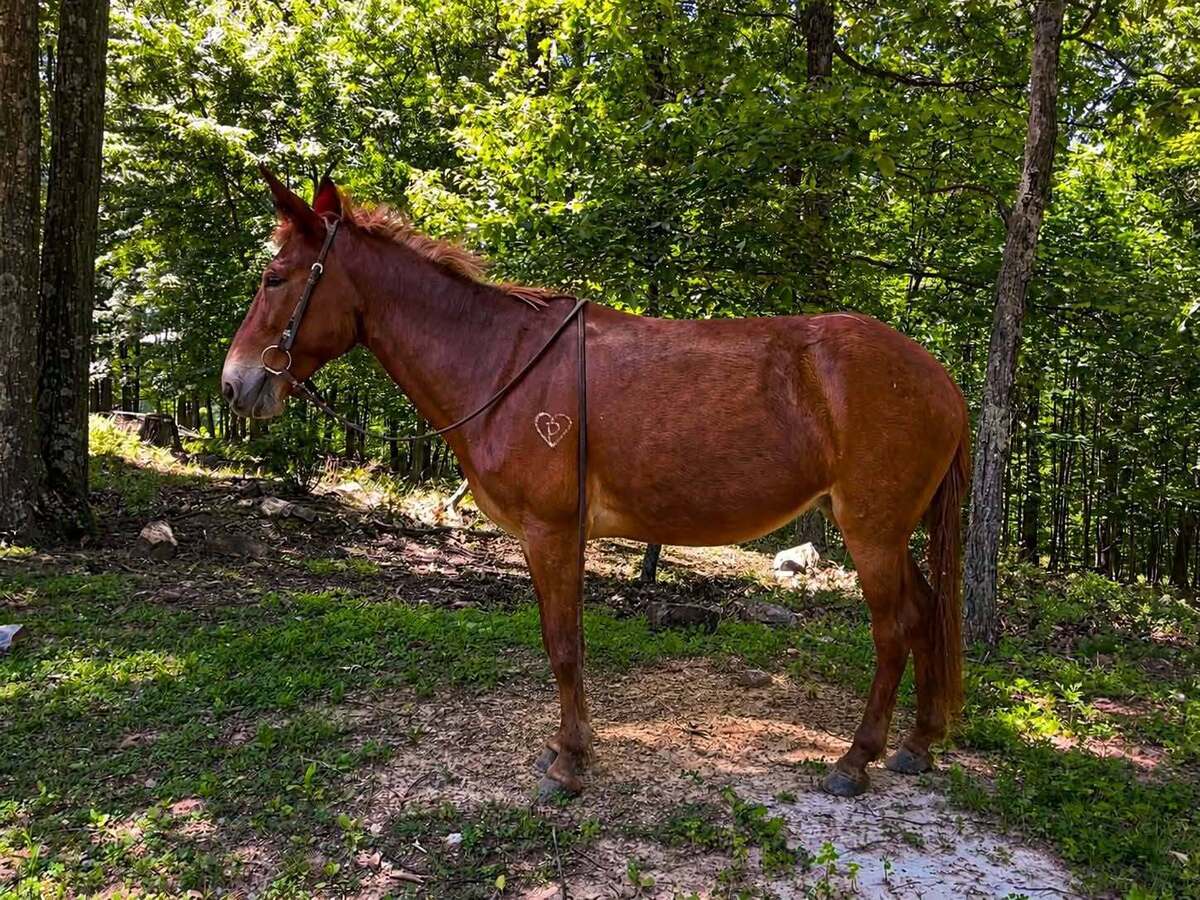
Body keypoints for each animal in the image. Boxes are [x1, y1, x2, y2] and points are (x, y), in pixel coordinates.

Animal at [221, 169, 970, 800]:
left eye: (275, 277)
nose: (235, 385)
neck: (503, 363)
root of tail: (939, 380)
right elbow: (569, 643)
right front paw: (567, 750)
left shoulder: (551, 532)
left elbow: (562, 645)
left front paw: (571, 763)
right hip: (888, 530)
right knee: (926, 610)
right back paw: (917, 744)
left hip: (870, 529)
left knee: (895, 627)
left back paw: (856, 759)